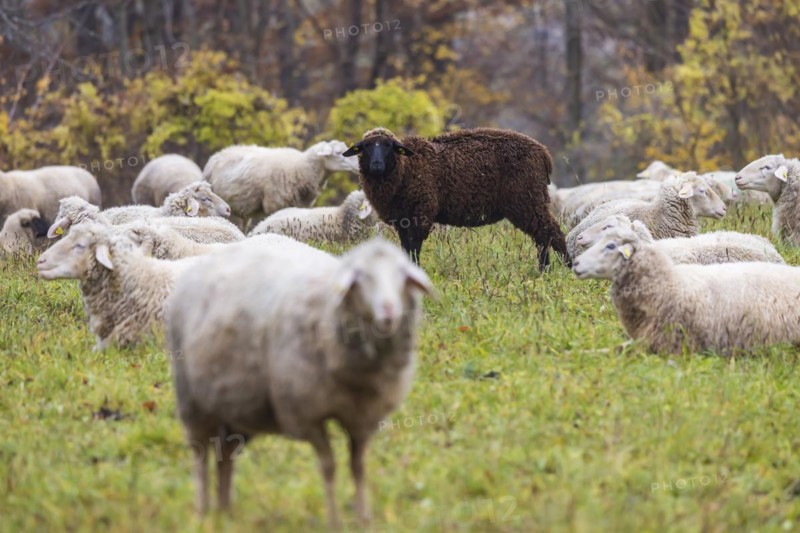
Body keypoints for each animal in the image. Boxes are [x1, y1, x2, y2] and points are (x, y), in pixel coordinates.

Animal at [166, 238, 433, 526]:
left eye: (402, 275)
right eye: (361, 277)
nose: (388, 311)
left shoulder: (363, 418)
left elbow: (358, 467)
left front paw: (363, 518)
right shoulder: (306, 414)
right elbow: (328, 467)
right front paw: (334, 521)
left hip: (237, 408)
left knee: (224, 455)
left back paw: (226, 512)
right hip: (192, 401)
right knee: (200, 455)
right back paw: (203, 510)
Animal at [203, 140, 360, 229]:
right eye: (338, 153)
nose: (358, 166)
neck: (301, 167)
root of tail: (217, 155)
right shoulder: (274, 204)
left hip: (243, 209)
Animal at [342, 127, 568, 270]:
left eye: (389, 146)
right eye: (365, 147)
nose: (376, 165)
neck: (406, 168)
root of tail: (543, 153)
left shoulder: (420, 213)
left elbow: (414, 249)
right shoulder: (403, 220)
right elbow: (406, 250)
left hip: (528, 200)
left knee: (553, 234)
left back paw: (566, 268)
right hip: (531, 203)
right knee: (542, 237)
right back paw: (544, 272)